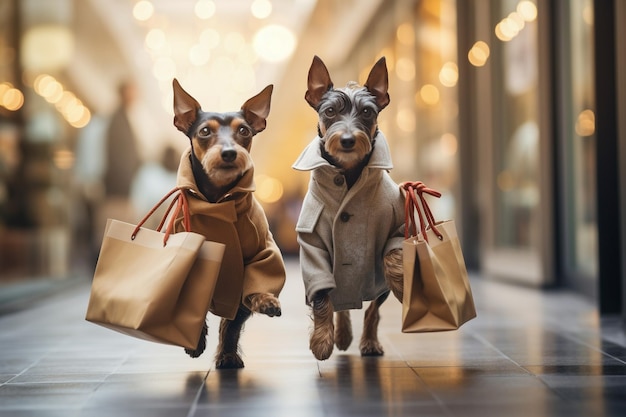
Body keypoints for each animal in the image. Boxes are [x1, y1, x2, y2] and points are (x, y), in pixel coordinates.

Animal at [172, 78, 286, 368]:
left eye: (244, 130)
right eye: (204, 131)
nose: (229, 153)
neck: (217, 201)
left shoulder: (257, 258)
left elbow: (233, 324)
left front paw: (228, 354)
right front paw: (195, 343)